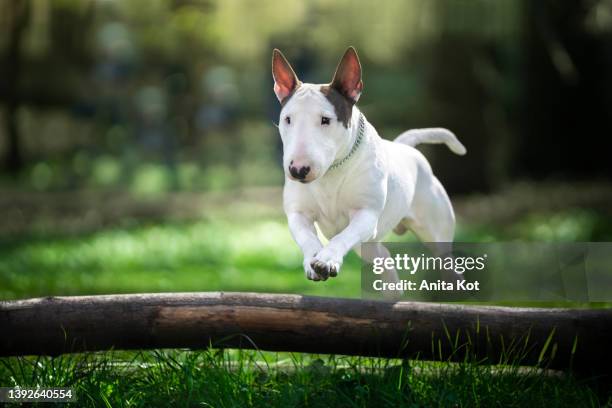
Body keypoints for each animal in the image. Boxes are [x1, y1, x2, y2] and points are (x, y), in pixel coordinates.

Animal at [272, 47, 464, 284]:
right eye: (288, 119)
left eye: (325, 120)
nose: (298, 170)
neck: (332, 171)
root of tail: (406, 147)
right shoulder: (298, 214)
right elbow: (307, 237)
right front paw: (312, 260)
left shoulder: (366, 215)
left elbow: (344, 235)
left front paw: (327, 259)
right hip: (369, 246)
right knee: (385, 258)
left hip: (435, 233)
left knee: (448, 262)